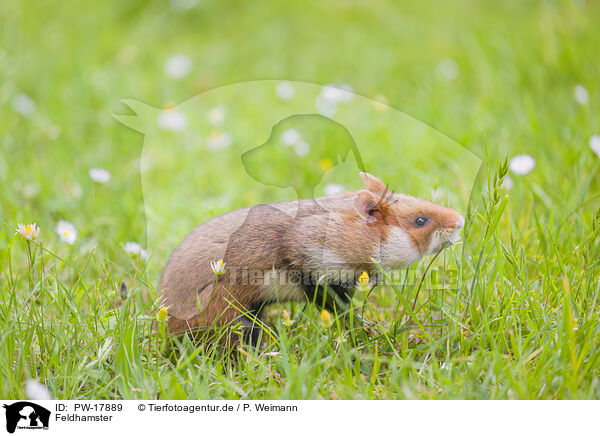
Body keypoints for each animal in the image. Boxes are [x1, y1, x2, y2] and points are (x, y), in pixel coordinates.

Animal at [157, 172, 462, 346]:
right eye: (420, 220)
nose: (459, 220)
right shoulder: (316, 277)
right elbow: (342, 313)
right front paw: (365, 333)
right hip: (235, 319)